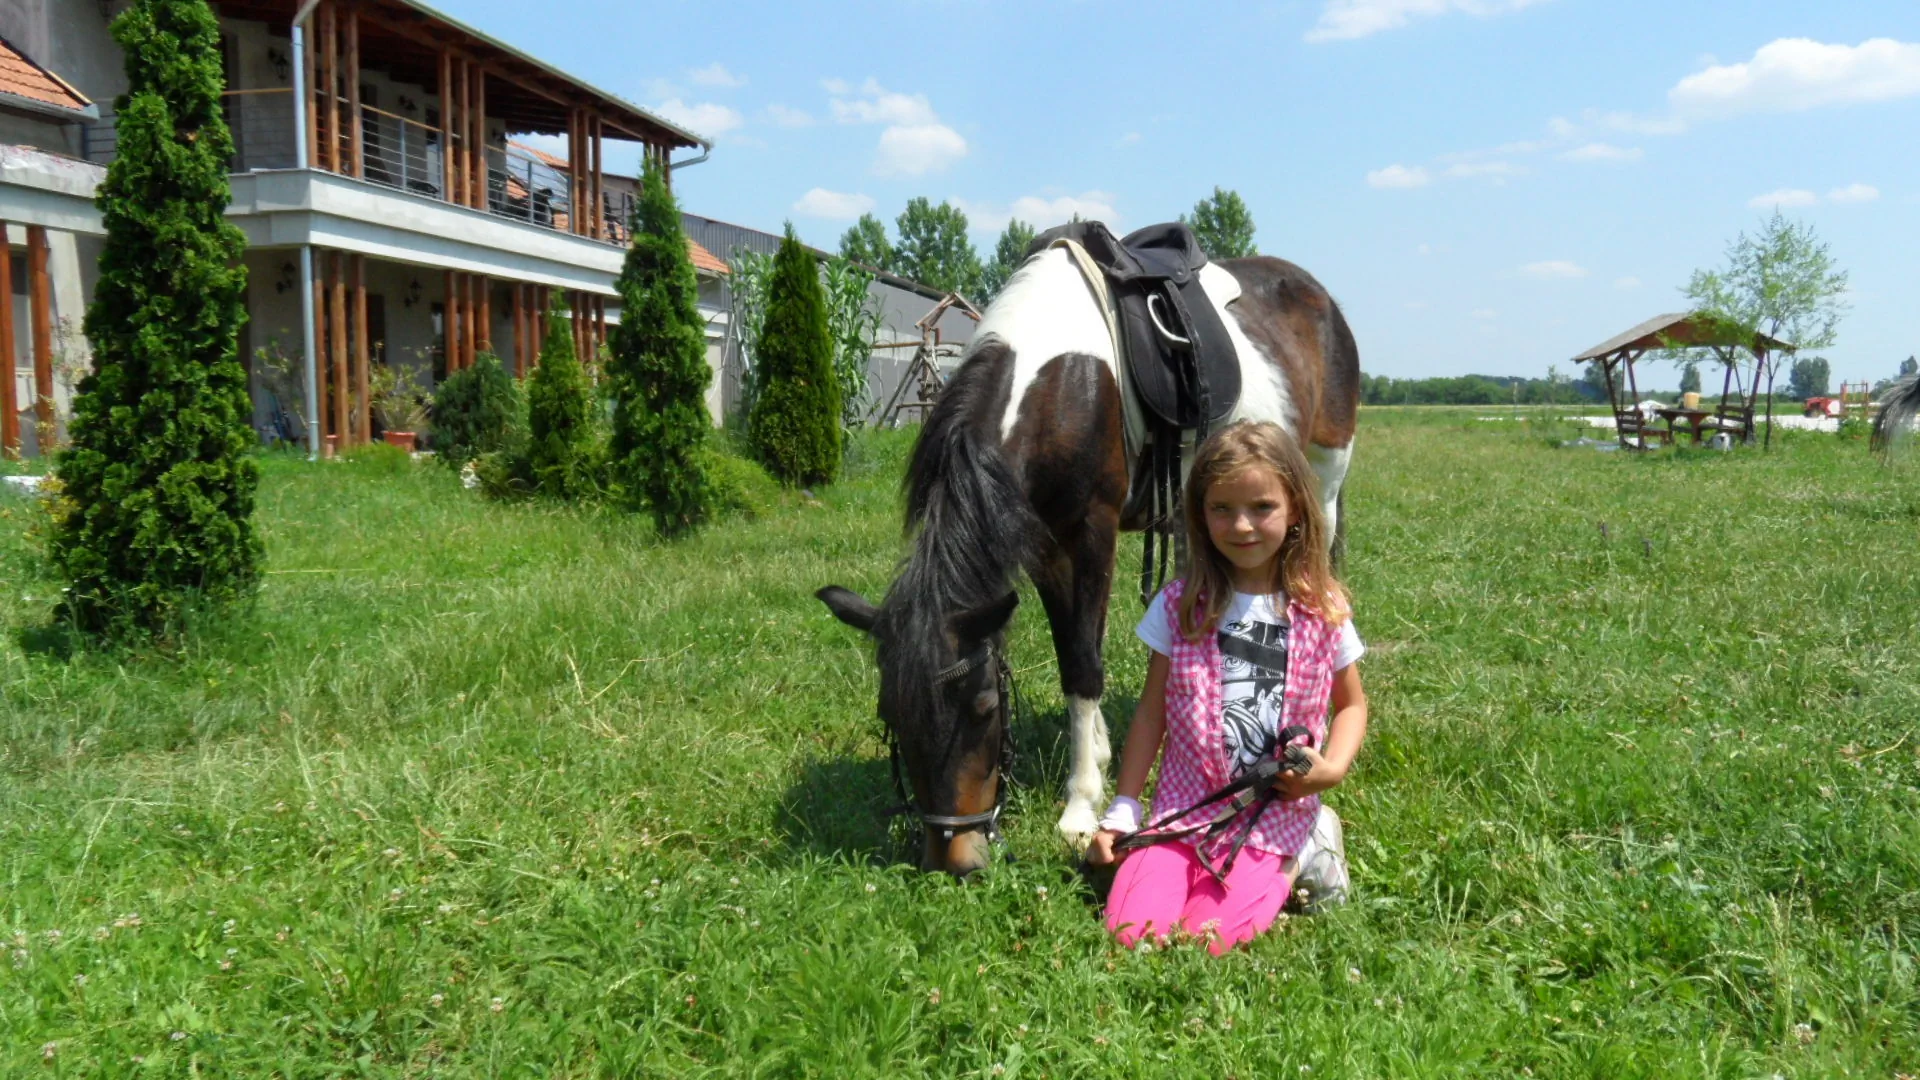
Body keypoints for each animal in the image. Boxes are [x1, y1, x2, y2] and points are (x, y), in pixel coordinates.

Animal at [817, 242, 1360, 876]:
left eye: (983, 707)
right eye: (891, 714)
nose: (955, 859)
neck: (1058, 382)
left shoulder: (1090, 532)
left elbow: (1082, 664)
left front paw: (1079, 808)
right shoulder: (1045, 544)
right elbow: (1073, 654)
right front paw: (1102, 756)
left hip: (1323, 478)